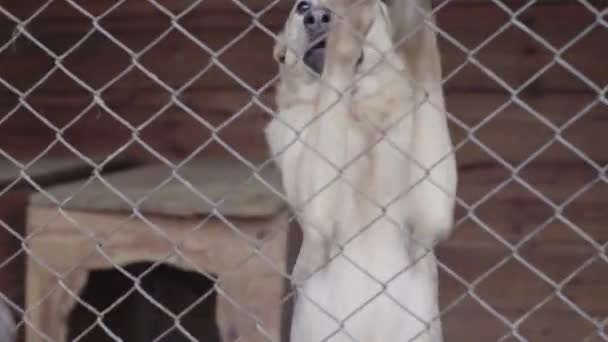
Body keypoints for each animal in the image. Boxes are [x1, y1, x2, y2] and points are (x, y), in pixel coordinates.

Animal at [266, 0, 456, 340]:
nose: (318, 17)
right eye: (302, 6)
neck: (354, 108)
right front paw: (344, 38)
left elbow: (425, 64)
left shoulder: (430, 213)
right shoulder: (315, 211)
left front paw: (417, 20)